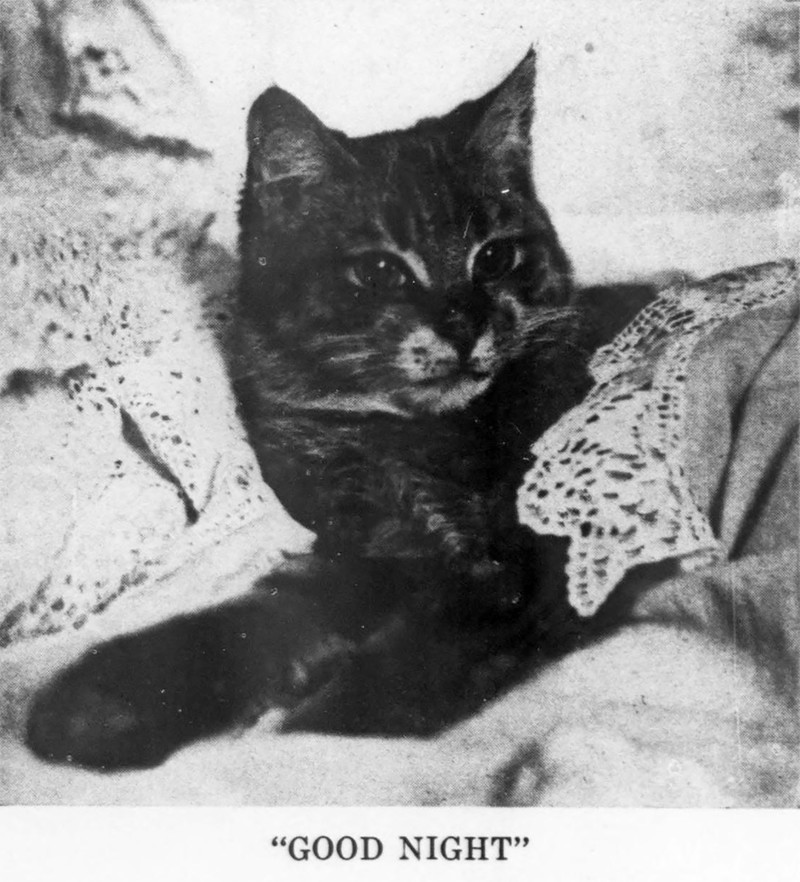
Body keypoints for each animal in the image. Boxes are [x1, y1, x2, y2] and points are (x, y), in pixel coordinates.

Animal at [25, 50, 652, 770]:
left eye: (495, 257)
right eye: (381, 271)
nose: (465, 325)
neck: (415, 437)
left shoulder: (541, 566)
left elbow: (427, 657)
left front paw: (331, 723)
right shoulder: (370, 547)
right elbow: (267, 621)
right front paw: (113, 698)